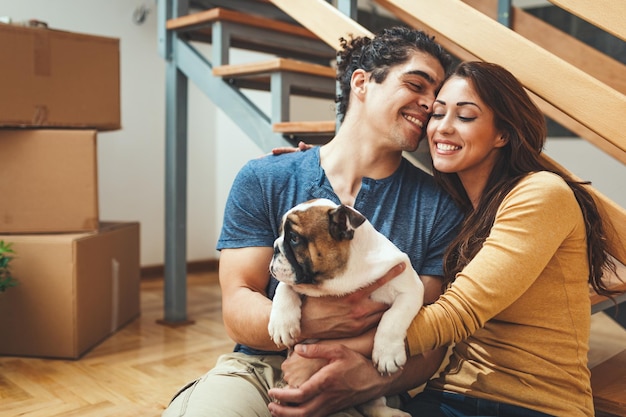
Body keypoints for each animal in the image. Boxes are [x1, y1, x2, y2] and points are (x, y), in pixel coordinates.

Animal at [266, 197, 422, 416]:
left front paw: (387, 354)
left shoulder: (409, 288)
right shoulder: (298, 282)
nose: (275, 246)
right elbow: (284, 287)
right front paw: (282, 325)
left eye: (294, 238)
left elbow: (392, 318)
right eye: (281, 234)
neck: (341, 278)